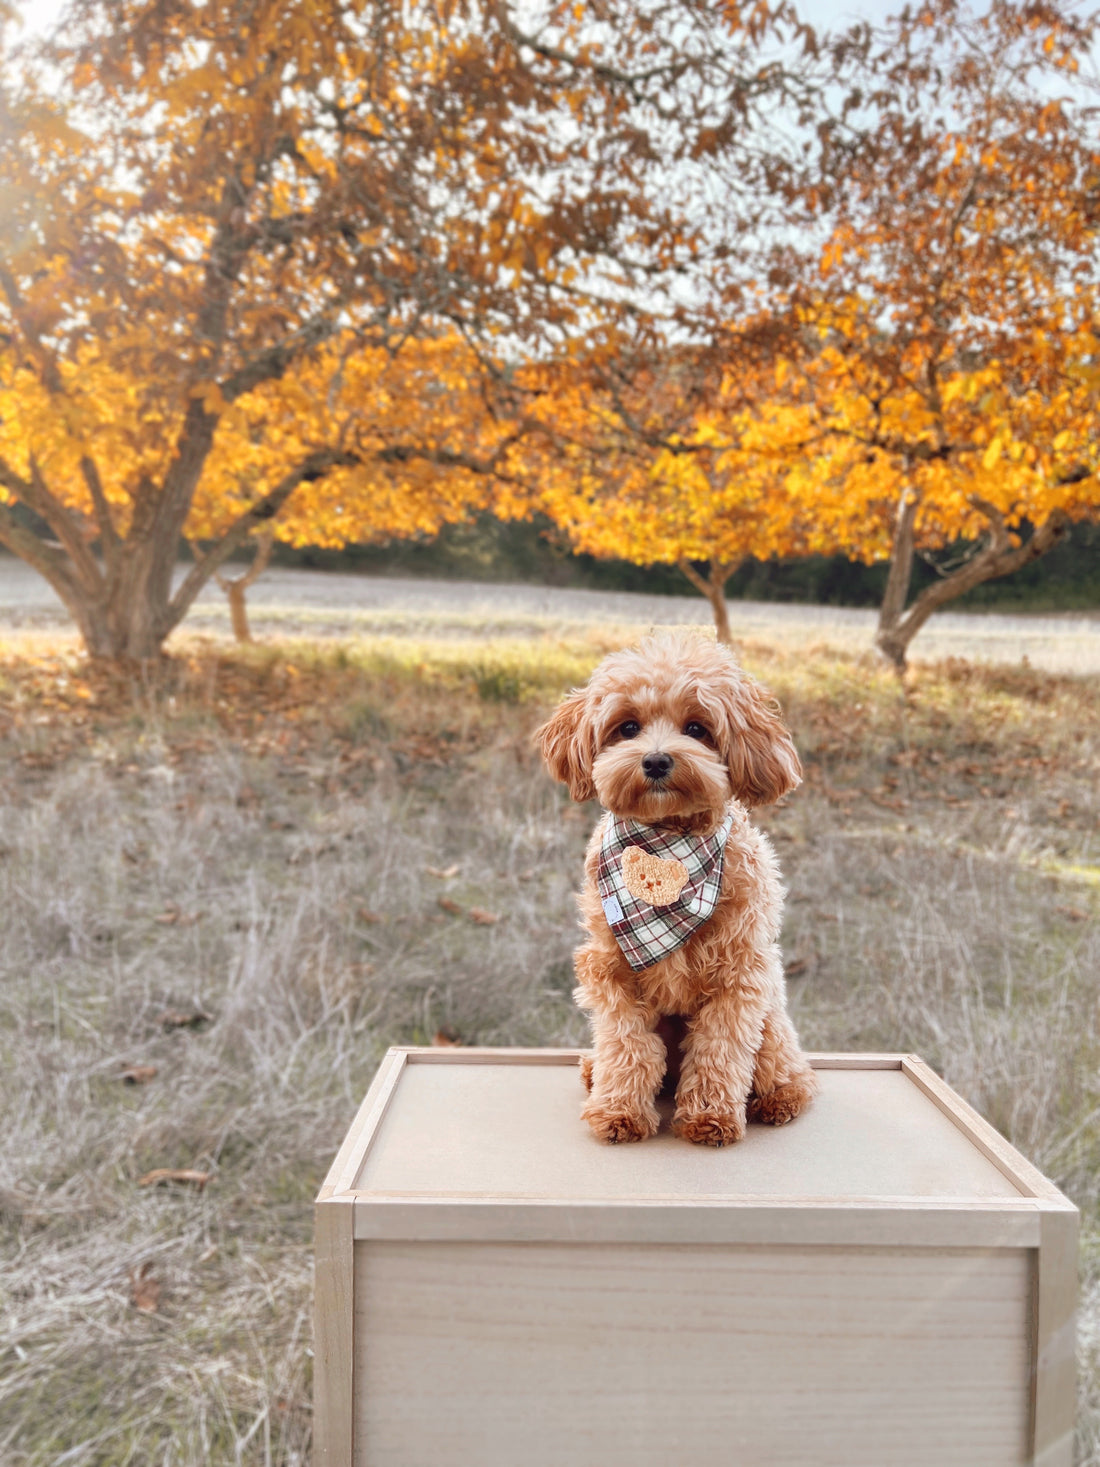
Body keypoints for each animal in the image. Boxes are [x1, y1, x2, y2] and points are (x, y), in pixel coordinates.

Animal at [533, 633, 821, 1144]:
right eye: (628, 727)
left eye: (697, 728)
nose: (656, 760)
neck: (666, 847)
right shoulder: (611, 971)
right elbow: (627, 1045)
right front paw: (618, 1111)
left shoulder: (739, 976)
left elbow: (719, 1049)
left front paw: (711, 1117)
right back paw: (593, 1073)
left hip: (771, 1018)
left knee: (785, 1066)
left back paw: (780, 1097)